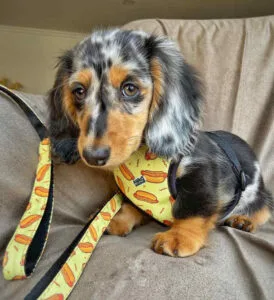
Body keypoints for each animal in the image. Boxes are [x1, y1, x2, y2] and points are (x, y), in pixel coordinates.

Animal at [48, 29, 272, 256]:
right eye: (79, 91)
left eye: (130, 88)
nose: (93, 156)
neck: (141, 156)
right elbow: (131, 206)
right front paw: (115, 219)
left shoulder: (204, 171)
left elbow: (192, 208)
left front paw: (179, 236)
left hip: (256, 195)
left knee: (264, 209)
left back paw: (243, 220)